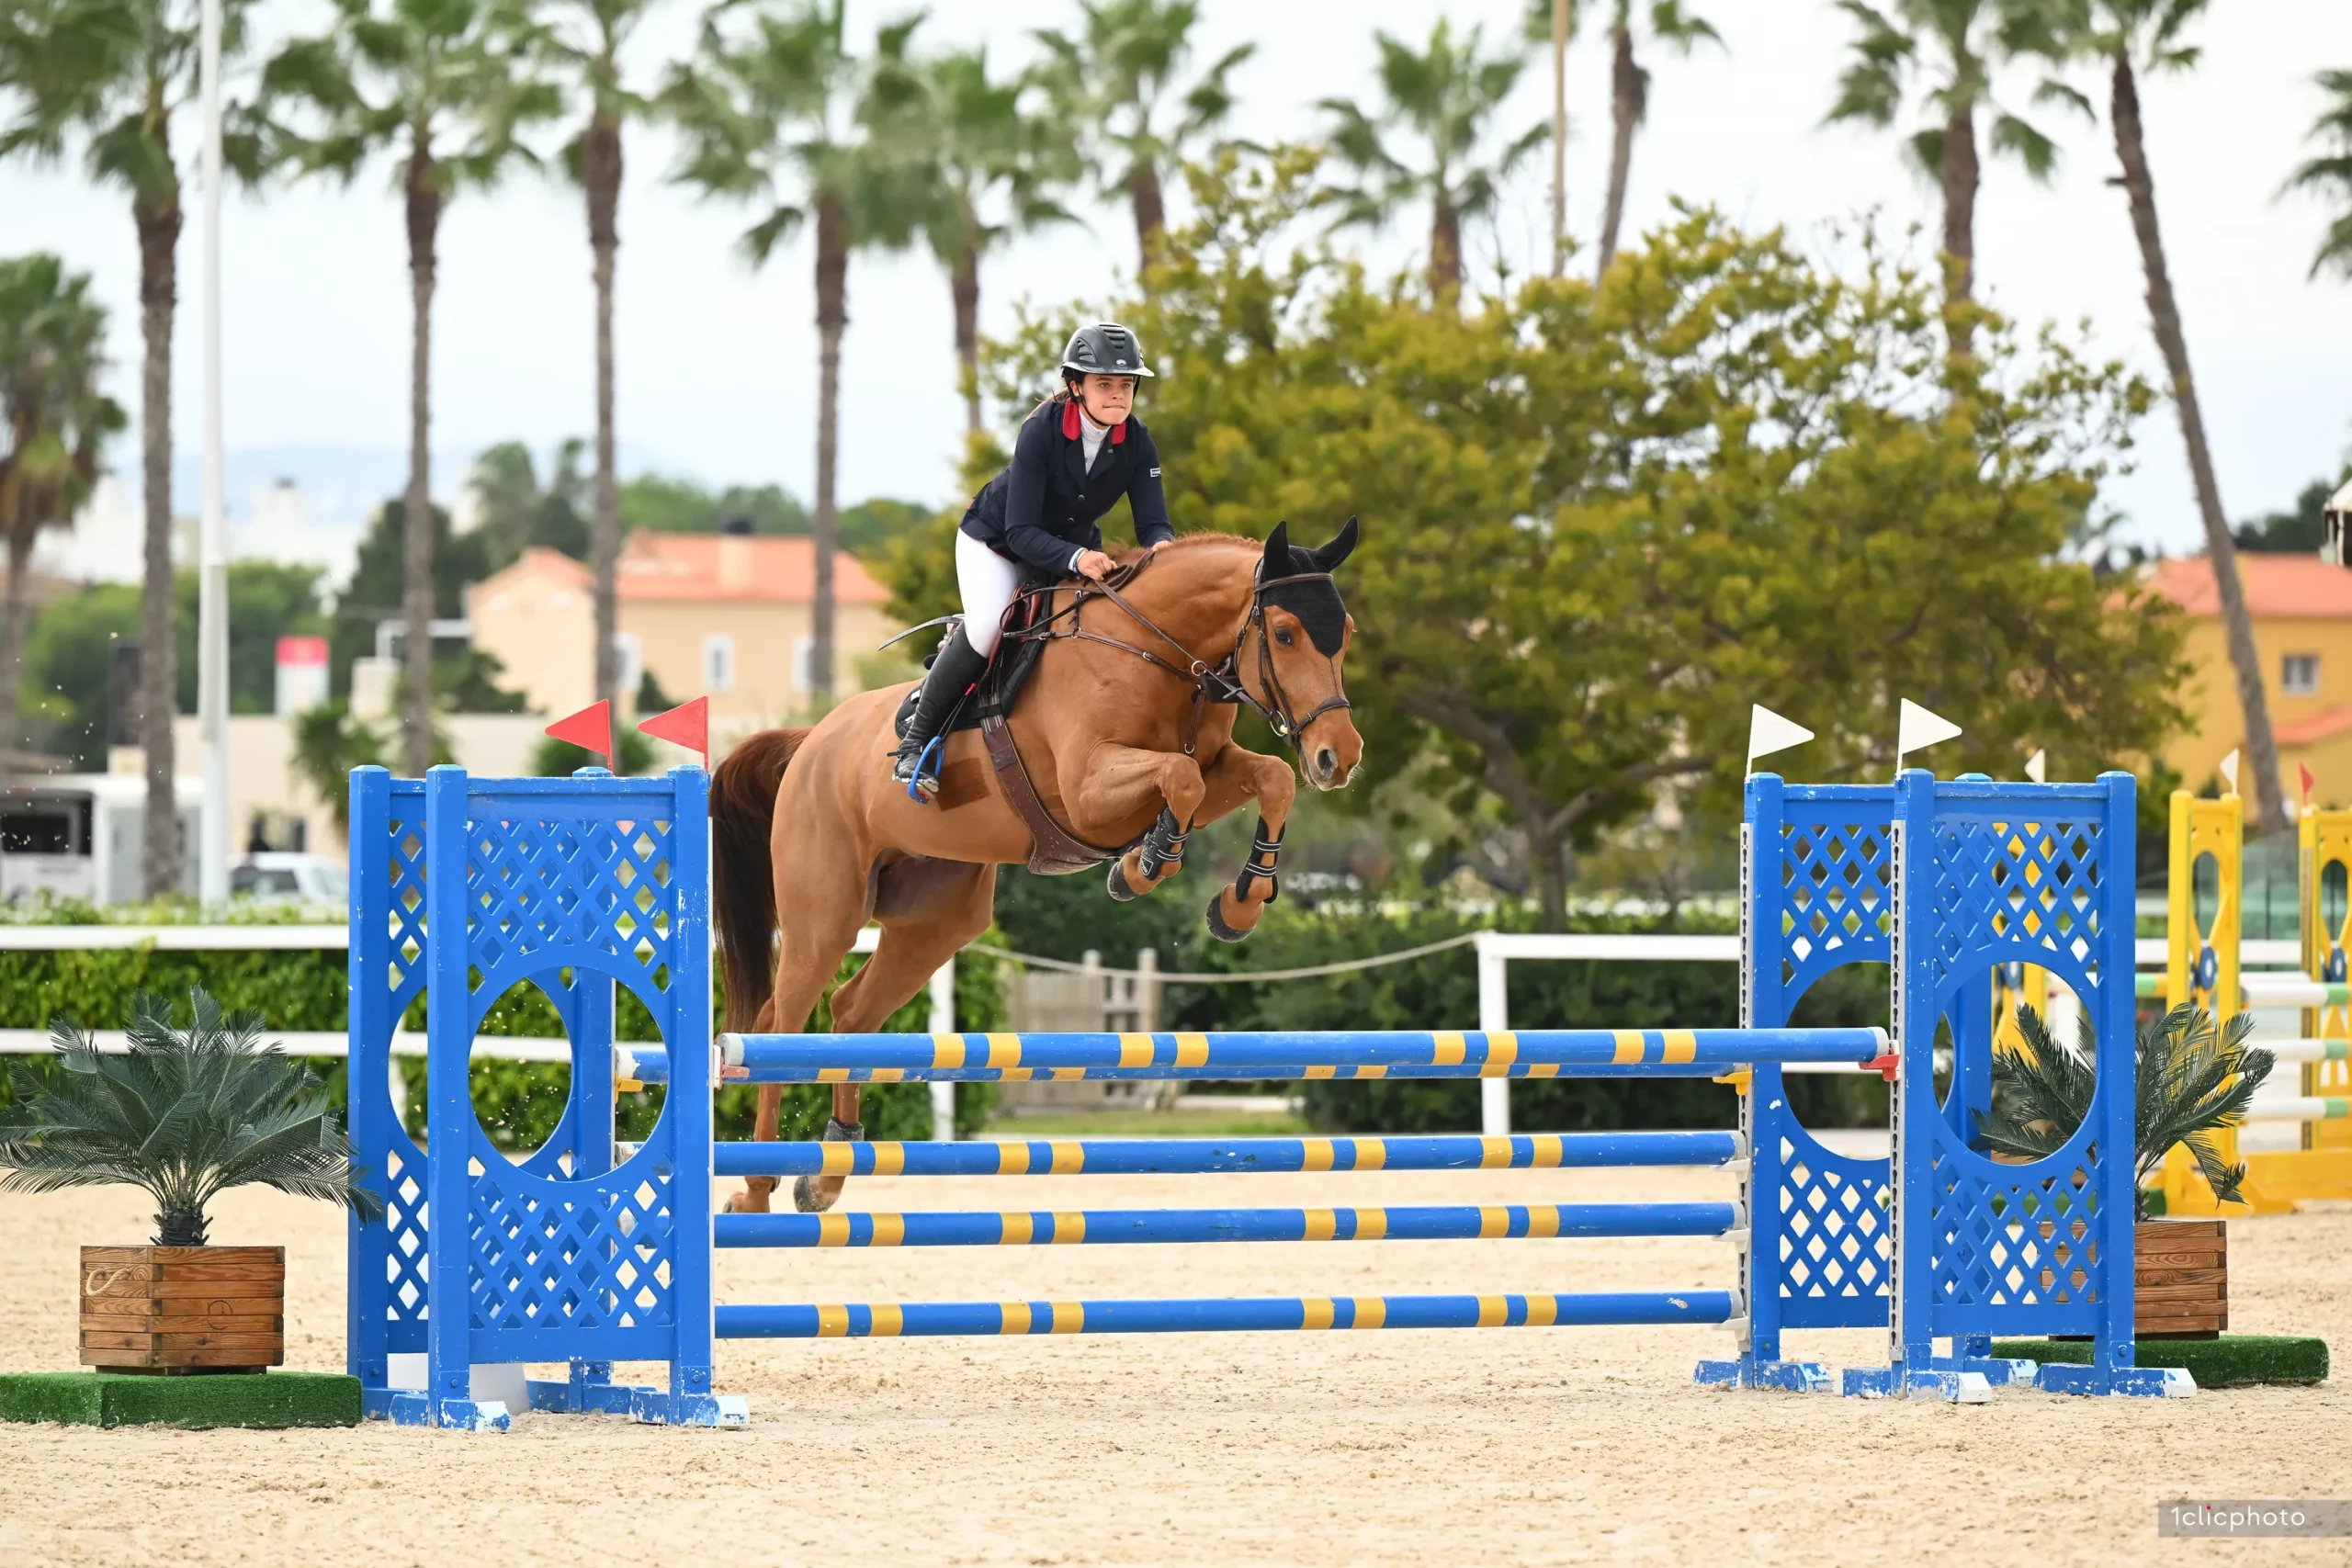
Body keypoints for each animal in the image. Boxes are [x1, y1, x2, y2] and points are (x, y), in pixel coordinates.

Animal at [709, 520, 1365, 1213]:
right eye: (1285, 633)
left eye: (1345, 632)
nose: (1340, 756)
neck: (1155, 651)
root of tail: (809, 741)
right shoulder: (1087, 793)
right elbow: (1180, 777)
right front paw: (1144, 866)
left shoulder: (1213, 767)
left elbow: (1268, 778)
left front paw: (1236, 904)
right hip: (826, 918)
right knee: (780, 1024)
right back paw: (755, 1189)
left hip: (937, 921)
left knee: (853, 1013)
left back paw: (828, 1171)